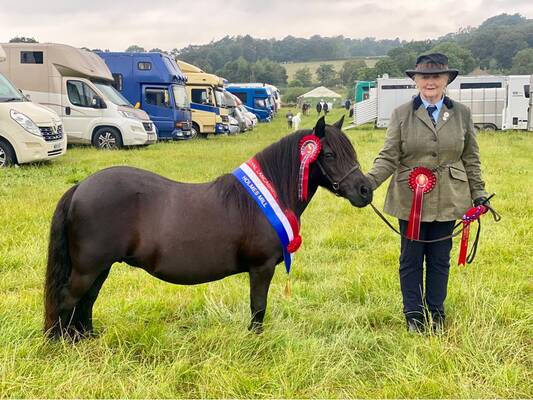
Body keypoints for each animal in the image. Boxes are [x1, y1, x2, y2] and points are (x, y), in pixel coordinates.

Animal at [44, 117, 370, 340]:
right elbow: (258, 306)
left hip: (100, 267)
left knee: (86, 301)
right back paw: (62, 344)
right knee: (68, 300)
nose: (365, 190)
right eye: (329, 155)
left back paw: (87, 339)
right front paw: (256, 342)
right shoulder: (261, 268)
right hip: (88, 268)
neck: (265, 196)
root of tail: (80, 187)